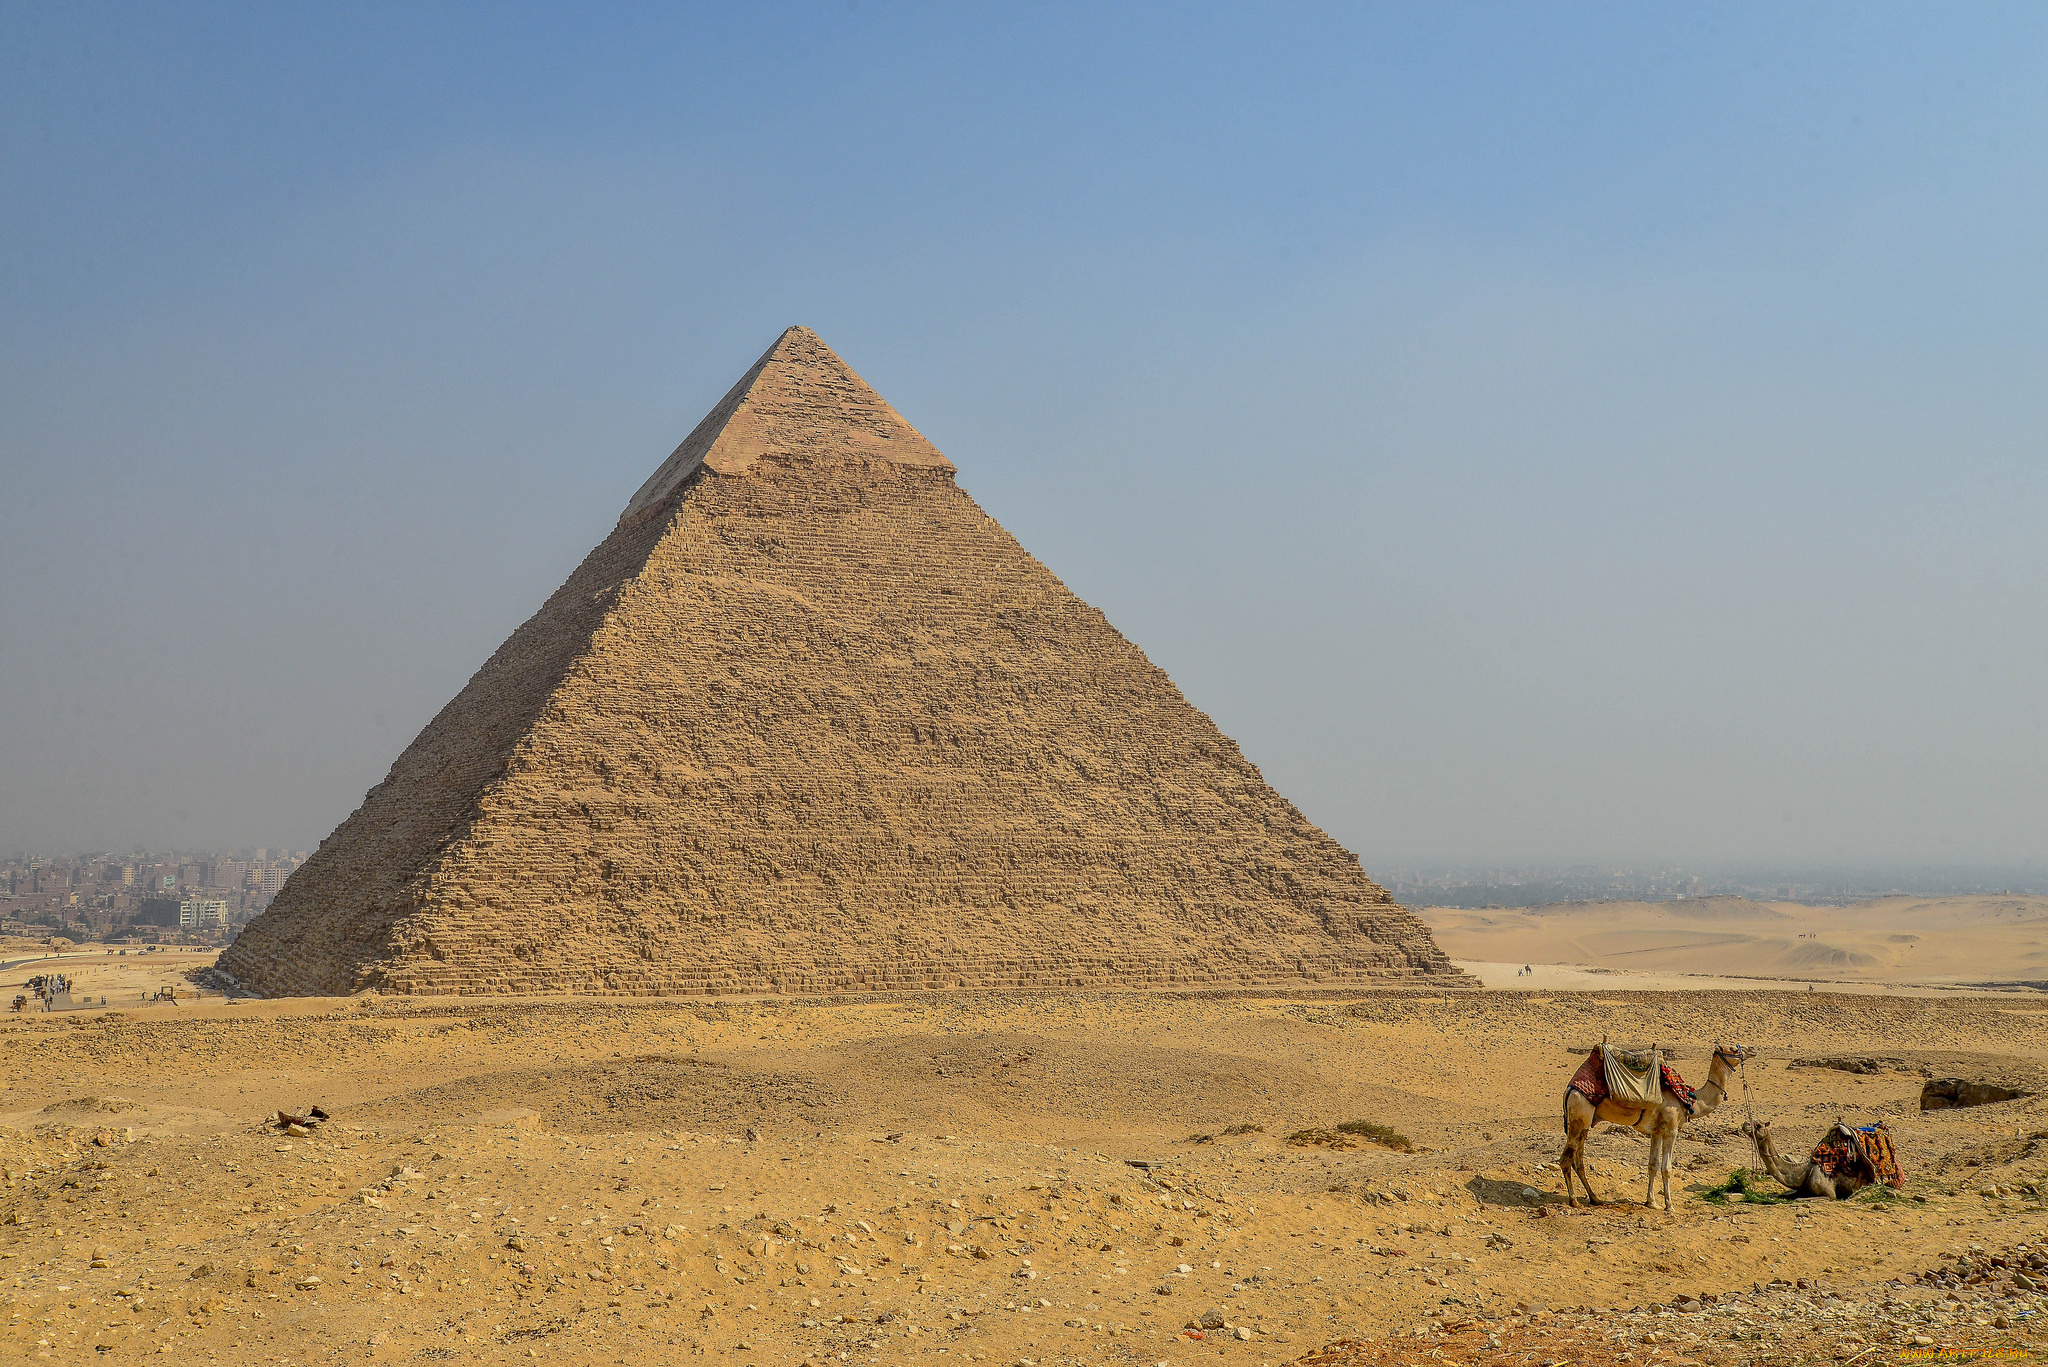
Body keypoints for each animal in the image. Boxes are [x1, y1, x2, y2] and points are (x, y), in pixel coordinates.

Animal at [1556, 1041, 1753, 1213]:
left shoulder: (1656, 1132)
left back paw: (1595, 1199)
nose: (1751, 1049)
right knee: (1566, 1158)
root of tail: (1569, 1090)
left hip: (1585, 1123)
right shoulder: (1671, 1130)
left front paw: (1651, 1202)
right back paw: (1574, 1201)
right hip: (1579, 1115)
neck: (1690, 1100)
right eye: (1732, 1048)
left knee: (1579, 1160)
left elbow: (1653, 1165)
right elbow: (1667, 1168)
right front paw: (1669, 1206)